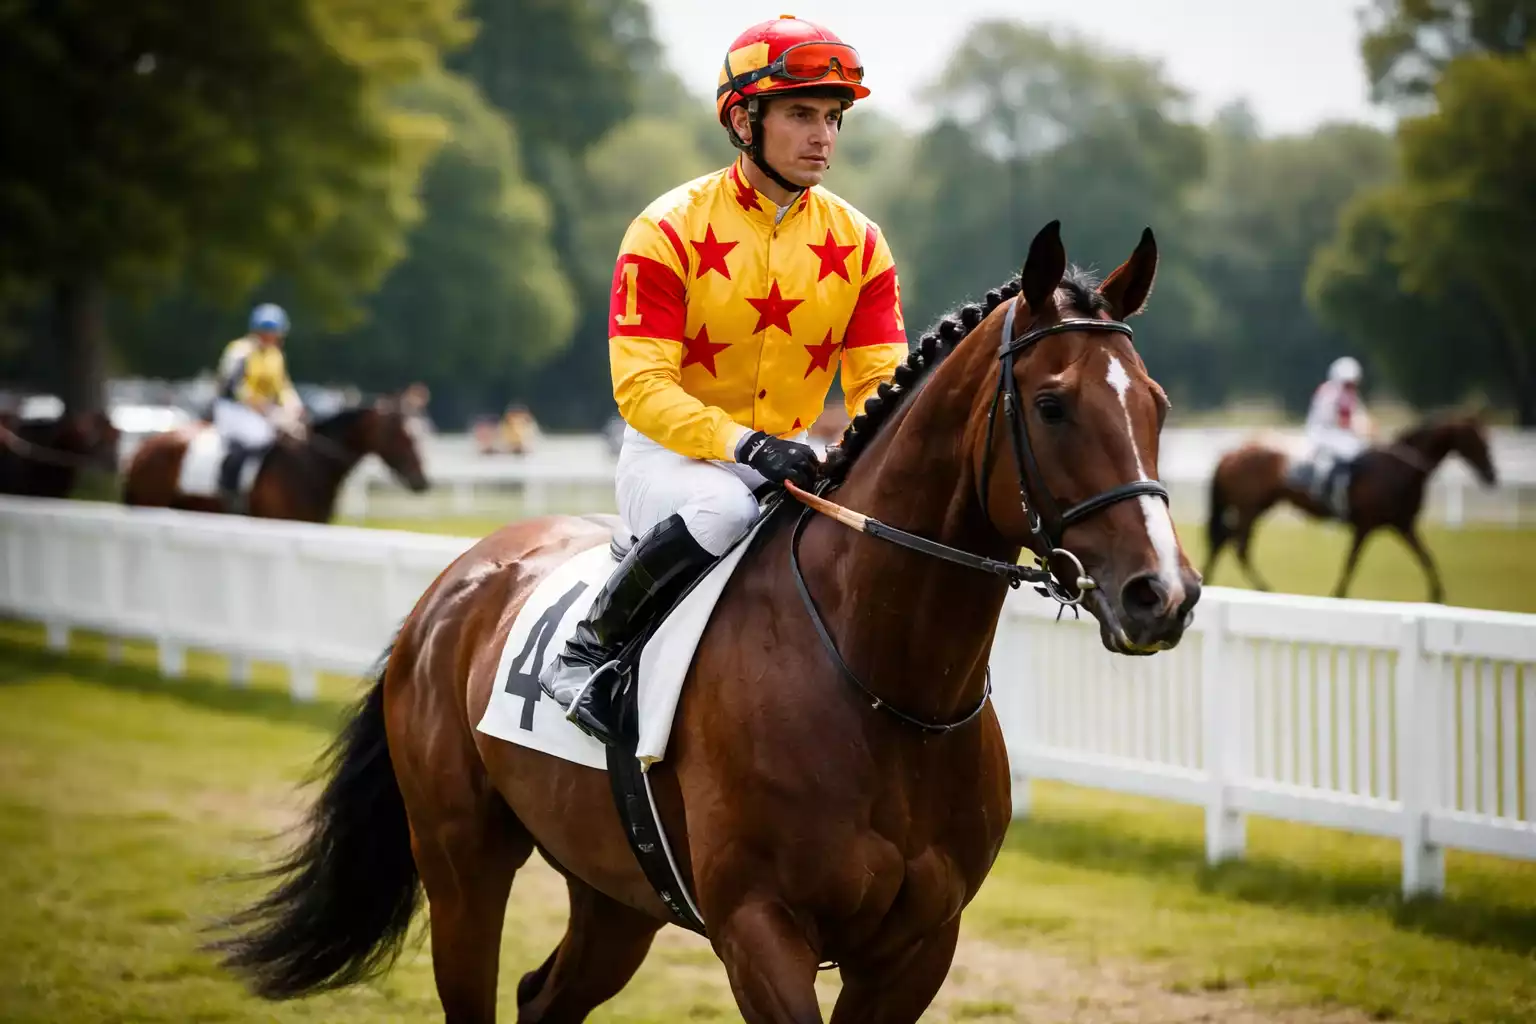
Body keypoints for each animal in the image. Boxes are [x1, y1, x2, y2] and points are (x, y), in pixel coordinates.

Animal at [121, 395, 428, 522]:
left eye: (417, 432)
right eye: (400, 435)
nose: (422, 482)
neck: (310, 465)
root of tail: (140, 450)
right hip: (149, 504)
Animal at [211, 222, 1202, 1023]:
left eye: (1157, 402)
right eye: (1053, 403)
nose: (1162, 593)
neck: (885, 691)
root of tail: (453, 584)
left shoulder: (918, 946)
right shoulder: (760, 930)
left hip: (614, 890)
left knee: (544, 995)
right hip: (462, 865)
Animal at [1204, 412, 1499, 602]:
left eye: (1488, 439)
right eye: (1478, 440)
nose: (1492, 475)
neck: (1396, 470)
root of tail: (1229, 454)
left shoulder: (1403, 524)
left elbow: (1426, 556)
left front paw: (1437, 594)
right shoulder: (1365, 525)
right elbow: (1352, 561)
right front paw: (1338, 593)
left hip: (1257, 507)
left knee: (1224, 541)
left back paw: (1212, 579)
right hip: (1249, 507)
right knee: (1237, 546)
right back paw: (1264, 588)